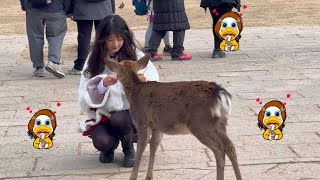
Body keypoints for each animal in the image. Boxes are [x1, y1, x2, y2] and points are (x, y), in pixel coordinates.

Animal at [105, 53, 242, 180]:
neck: (134, 92)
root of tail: (220, 94)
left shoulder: (142, 122)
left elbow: (140, 148)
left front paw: (132, 177)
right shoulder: (157, 127)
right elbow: (153, 147)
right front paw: (149, 176)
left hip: (200, 123)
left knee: (219, 148)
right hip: (220, 123)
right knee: (230, 147)